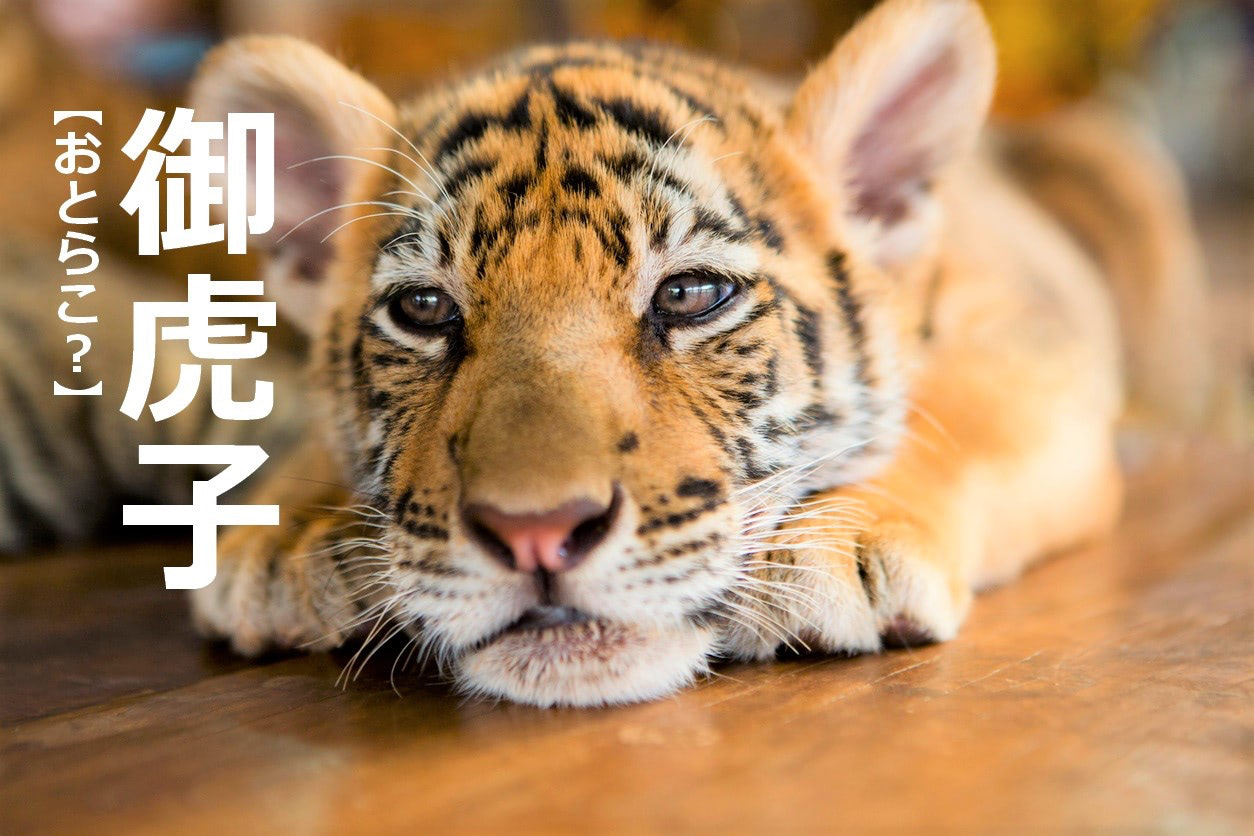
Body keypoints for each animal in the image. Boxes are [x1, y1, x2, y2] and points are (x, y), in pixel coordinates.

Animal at [6, 0, 1207, 707]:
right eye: (425, 312)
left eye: (690, 294)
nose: (537, 535)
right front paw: (284, 535)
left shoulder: (1031, 331)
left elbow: (971, 409)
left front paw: (841, 543)